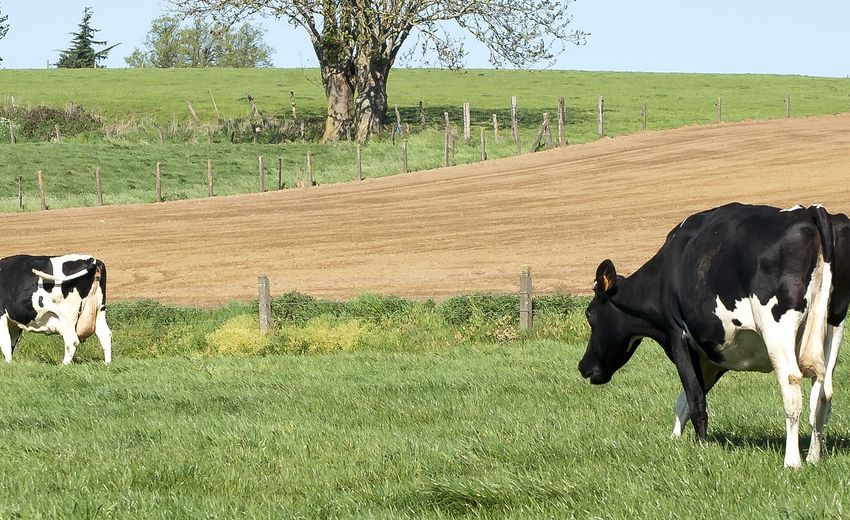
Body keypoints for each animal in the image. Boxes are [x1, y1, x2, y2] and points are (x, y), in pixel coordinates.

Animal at [576, 203, 848, 468]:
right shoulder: (713, 353)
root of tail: (810, 211)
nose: (583, 366)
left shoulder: (678, 336)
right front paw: (675, 440)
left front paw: (701, 448)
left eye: (589, 314)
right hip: (834, 325)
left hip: (777, 330)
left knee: (792, 387)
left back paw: (793, 462)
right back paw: (813, 457)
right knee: (823, 395)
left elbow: (695, 400)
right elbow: (684, 401)